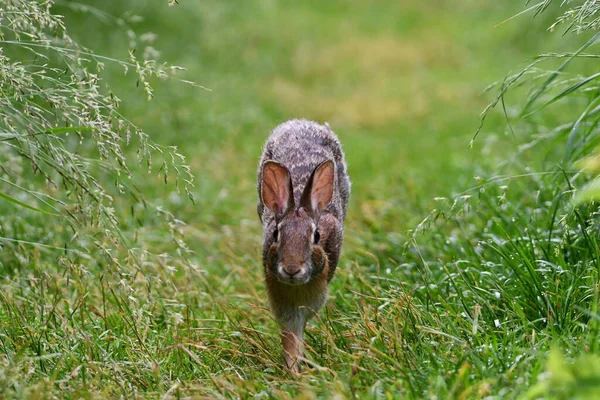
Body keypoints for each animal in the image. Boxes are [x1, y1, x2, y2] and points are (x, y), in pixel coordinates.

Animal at [255, 119, 350, 372]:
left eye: (316, 236)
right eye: (276, 234)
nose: (291, 269)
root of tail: (299, 123)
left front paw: (297, 368)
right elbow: (290, 334)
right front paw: (292, 368)